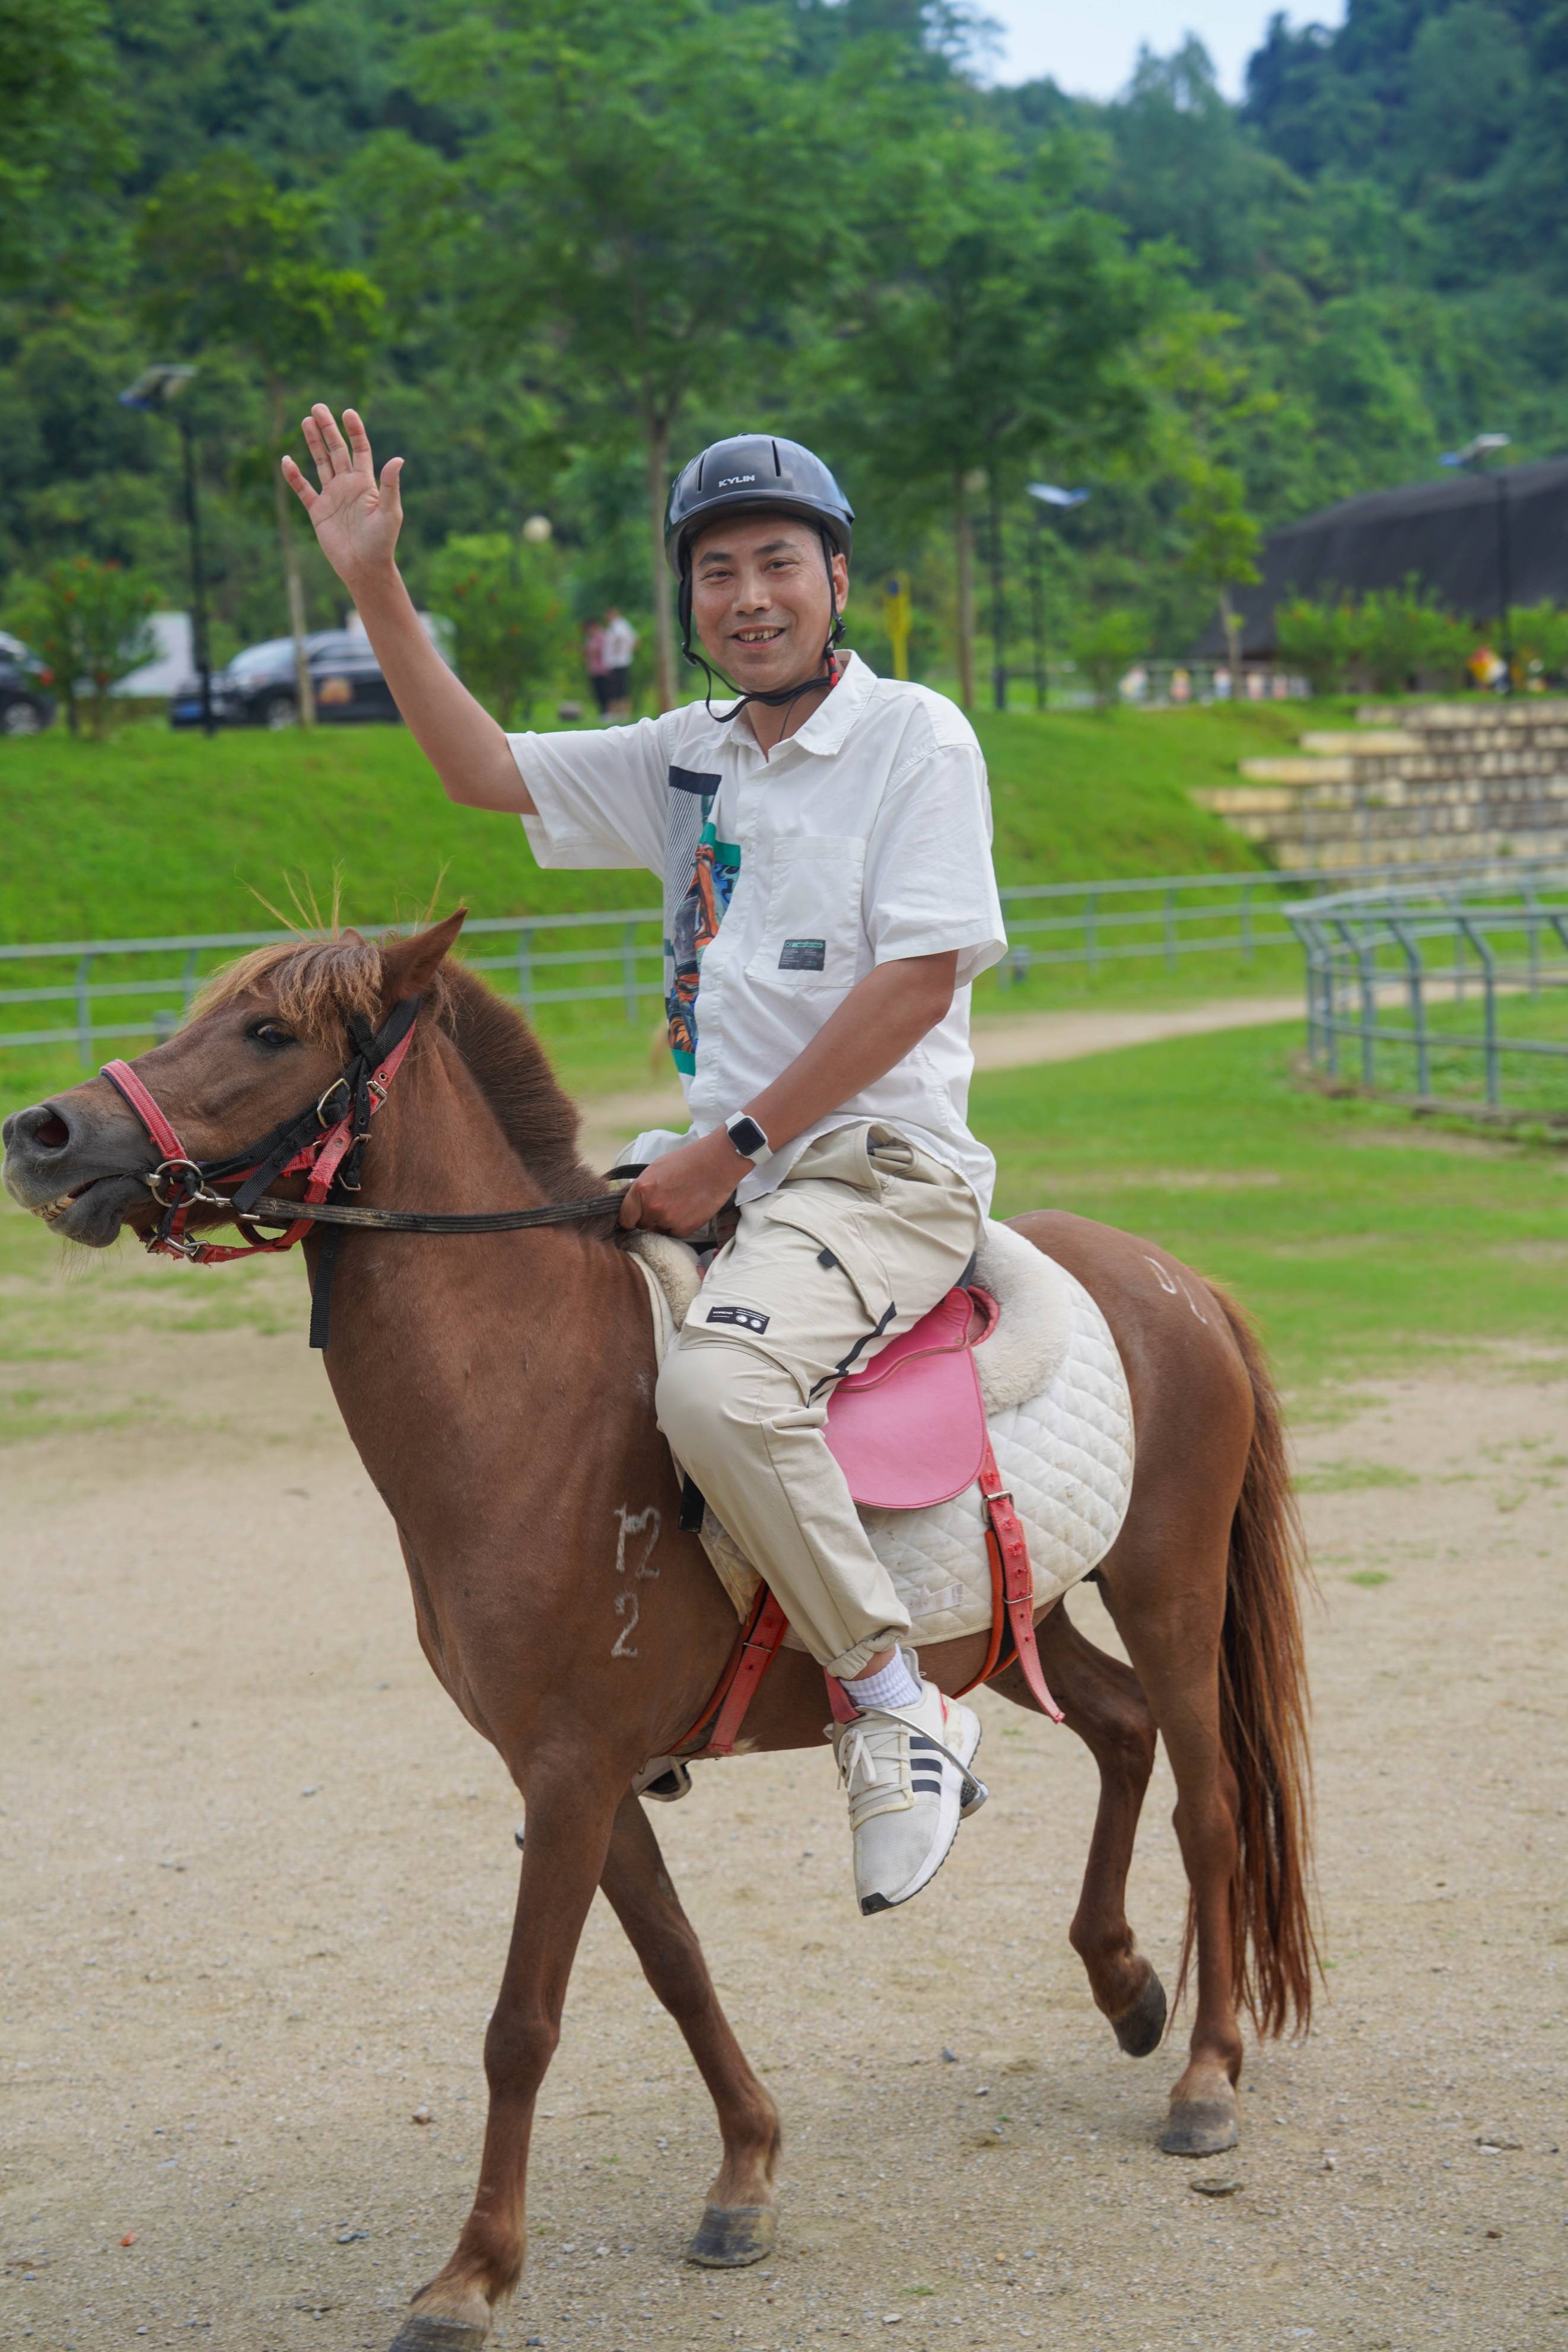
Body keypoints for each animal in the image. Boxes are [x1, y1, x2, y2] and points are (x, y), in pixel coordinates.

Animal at [3, 917, 1316, 2352]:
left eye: (266, 1032)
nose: (42, 1130)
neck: (533, 1394)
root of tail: (1168, 1278)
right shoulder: (573, 1766)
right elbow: (676, 1961)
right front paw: (745, 2169)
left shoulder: (573, 1768)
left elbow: (522, 2020)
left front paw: (472, 2272)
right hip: (1016, 1629)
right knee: (1122, 1731)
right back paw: (1122, 1983)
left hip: (1168, 1589)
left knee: (1208, 1803)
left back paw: (1204, 2075)